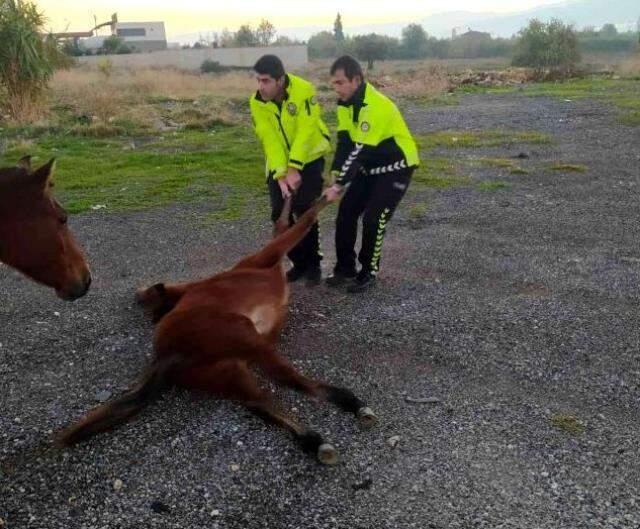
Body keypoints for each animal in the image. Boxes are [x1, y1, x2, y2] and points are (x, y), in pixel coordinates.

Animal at [59, 195, 376, 462]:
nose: (135, 294)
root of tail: (166, 357)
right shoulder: (271, 251)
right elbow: (297, 220)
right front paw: (328, 190)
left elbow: (286, 221)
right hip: (248, 341)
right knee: (293, 383)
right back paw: (348, 406)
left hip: (232, 373)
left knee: (261, 404)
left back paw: (315, 441)